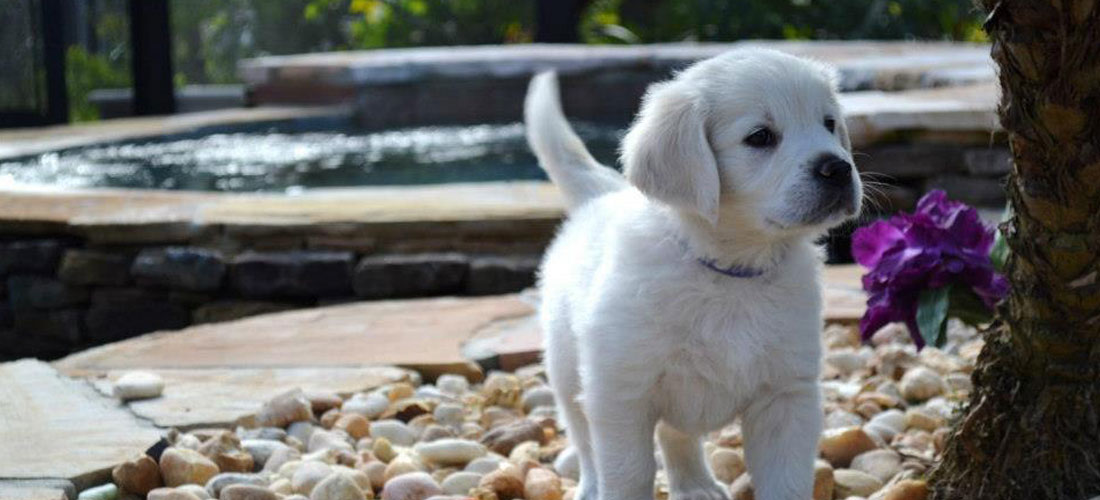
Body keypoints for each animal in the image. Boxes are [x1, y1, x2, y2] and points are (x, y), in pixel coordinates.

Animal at [523, 48, 858, 500]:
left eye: (829, 124)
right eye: (760, 137)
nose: (838, 168)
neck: (730, 272)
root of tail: (602, 196)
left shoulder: (787, 394)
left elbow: (786, 480)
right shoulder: (620, 391)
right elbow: (628, 473)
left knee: (675, 435)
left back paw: (696, 484)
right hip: (565, 368)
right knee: (584, 440)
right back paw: (593, 486)